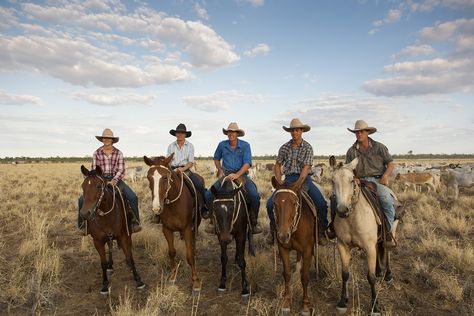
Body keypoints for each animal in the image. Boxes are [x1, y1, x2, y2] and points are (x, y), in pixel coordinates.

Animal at [79, 165, 144, 294]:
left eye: (99, 186)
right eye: (83, 186)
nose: (84, 214)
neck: (106, 216)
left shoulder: (123, 236)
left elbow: (129, 257)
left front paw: (138, 280)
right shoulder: (97, 241)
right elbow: (103, 263)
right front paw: (104, 284)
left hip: (128, 233)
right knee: (110, 247)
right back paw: (110, 265)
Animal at [144, 153, 204, 294]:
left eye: (165, 177)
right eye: (149, 177)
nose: (156, 208)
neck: (173, 205)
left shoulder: (187, 229)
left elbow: (189, 255)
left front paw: (195, 282)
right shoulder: (167, 229)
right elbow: (171, 252)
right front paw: (172, 276)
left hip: (196, 224)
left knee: (193, 242)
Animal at [272, 177, 316, 314]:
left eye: (294, 203)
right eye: (274, 203)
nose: (283, 235)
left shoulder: (307, 250)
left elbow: (305, 277)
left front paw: (305, 306)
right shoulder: (283, 249)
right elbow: (286, 274)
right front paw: (286, 302)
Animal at [330, 156, 392, 316]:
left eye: (352, 180)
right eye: (332, 180)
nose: (342, 210)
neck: (353, 218)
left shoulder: (369, 248)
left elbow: (370, 278)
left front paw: (375, 307)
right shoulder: (342, 245)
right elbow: (345, 273)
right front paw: (342, 301)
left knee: (388, 252)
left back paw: (388, 275)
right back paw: (379, 270)